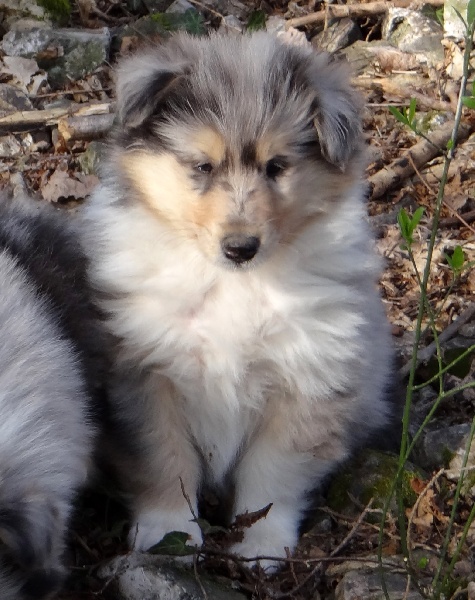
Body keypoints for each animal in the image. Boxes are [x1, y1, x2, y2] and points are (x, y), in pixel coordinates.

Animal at [82, 32, 395, 570]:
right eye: (202, 166)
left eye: (277, 167)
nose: (241, 247)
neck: (233, 284)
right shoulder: (144, 378)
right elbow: (165, 460)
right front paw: (170, 532)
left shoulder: (308, 378)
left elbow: (271, 473)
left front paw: (260, 543)